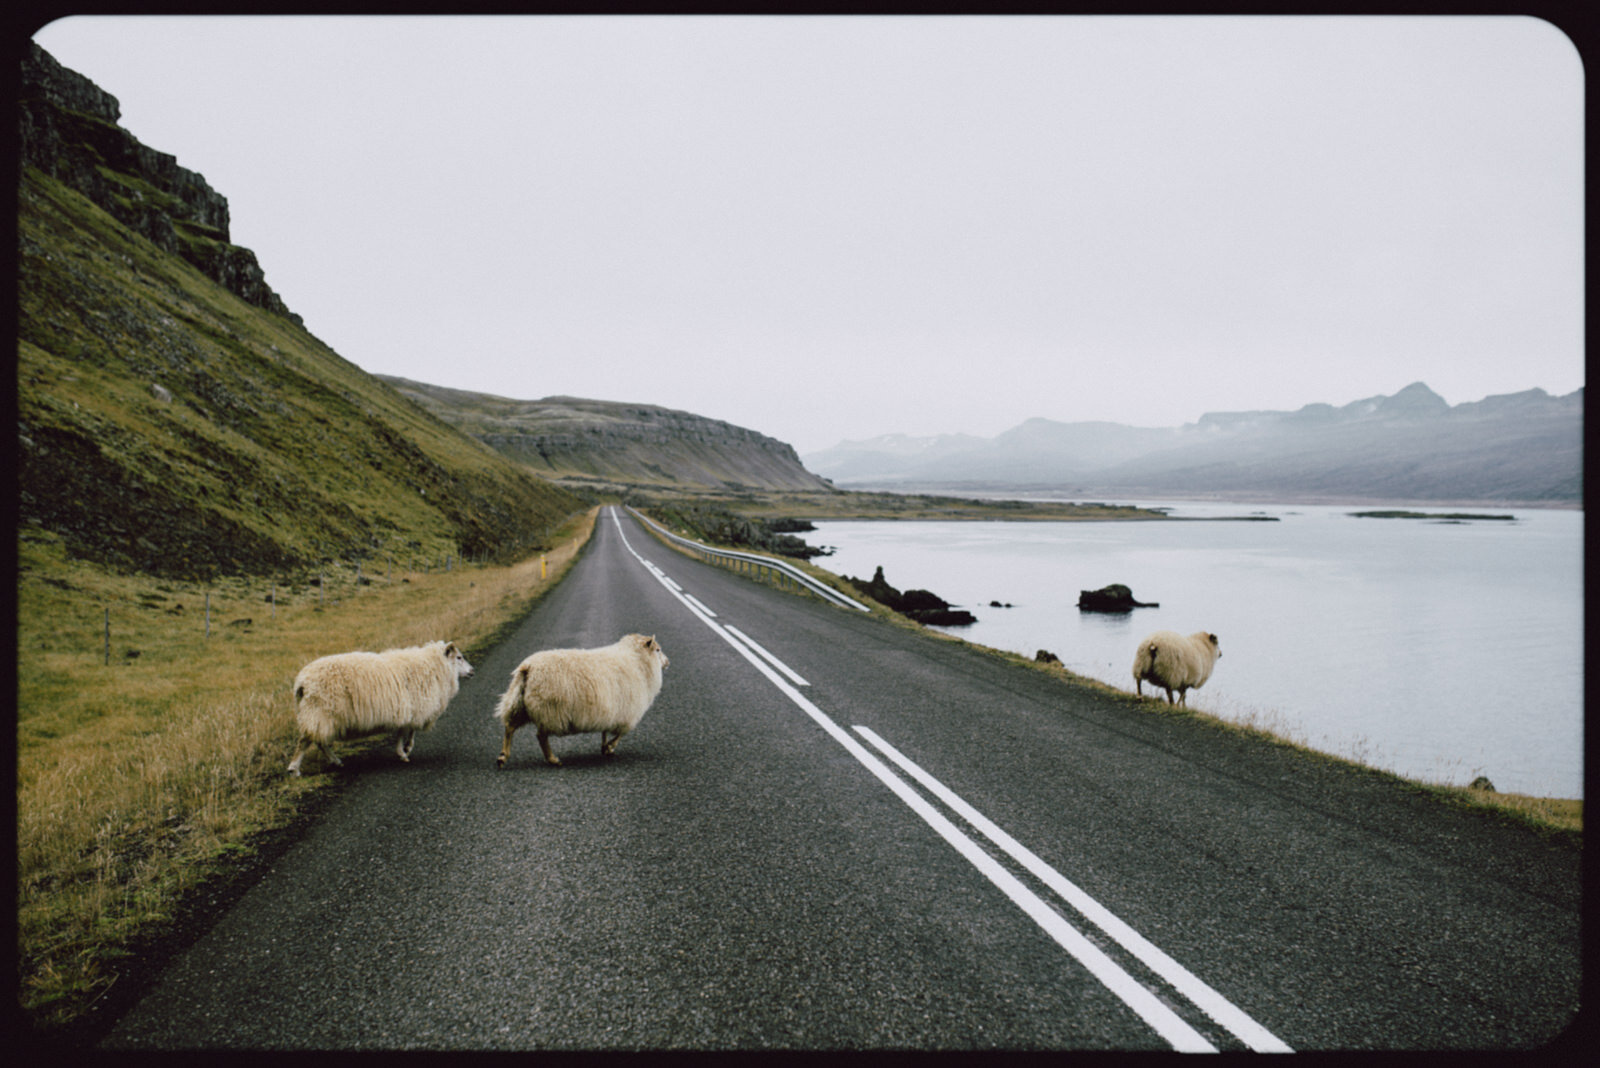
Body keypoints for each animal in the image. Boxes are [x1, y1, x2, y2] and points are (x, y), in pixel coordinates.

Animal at [289, 639, 473, 770]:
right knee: (307, 740)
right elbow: (407, 731)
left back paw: (335, 761)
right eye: (459, 657)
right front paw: (404, 751)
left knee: (319, 741)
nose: (472, 671)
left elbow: (405, 731)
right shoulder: (413, 707)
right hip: (320, 712)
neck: (433, 667)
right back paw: (295, 769)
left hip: (318, 715)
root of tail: (301, 682)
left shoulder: (407, 708)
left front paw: (404, 749)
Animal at [492, 633, 668, 767]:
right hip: (549, 710)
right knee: (540, 736)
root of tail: (528, 667)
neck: (637, 661)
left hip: (518, 704)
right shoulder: (626, 714)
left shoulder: (610, 711)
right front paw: (609, 747)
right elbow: (619, 734)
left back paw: (503, 756)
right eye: (658, 650)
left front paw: (605, 747)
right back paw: (553, 759)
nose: (668, 662)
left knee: (509, 727)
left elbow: (605, 731)